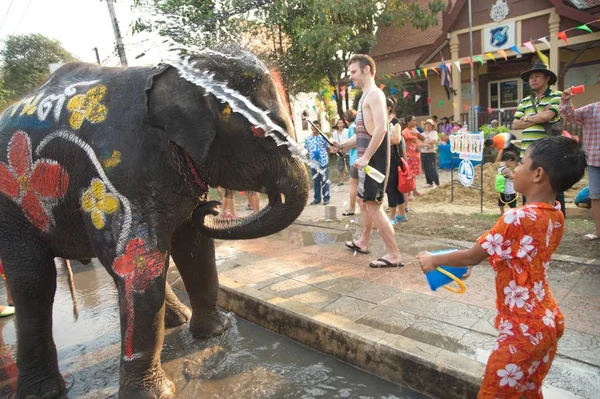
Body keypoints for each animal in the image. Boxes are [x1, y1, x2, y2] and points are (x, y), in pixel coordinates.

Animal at [0, 50, 310, 399]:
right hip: (13, 208)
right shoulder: (115, 177)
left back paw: (178, 319)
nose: (213, 205)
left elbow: (194, 248)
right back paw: (43, 392)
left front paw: (217, 333)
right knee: (33, 283)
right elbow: (139, 262)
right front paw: (156, 393)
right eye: (263, 135)